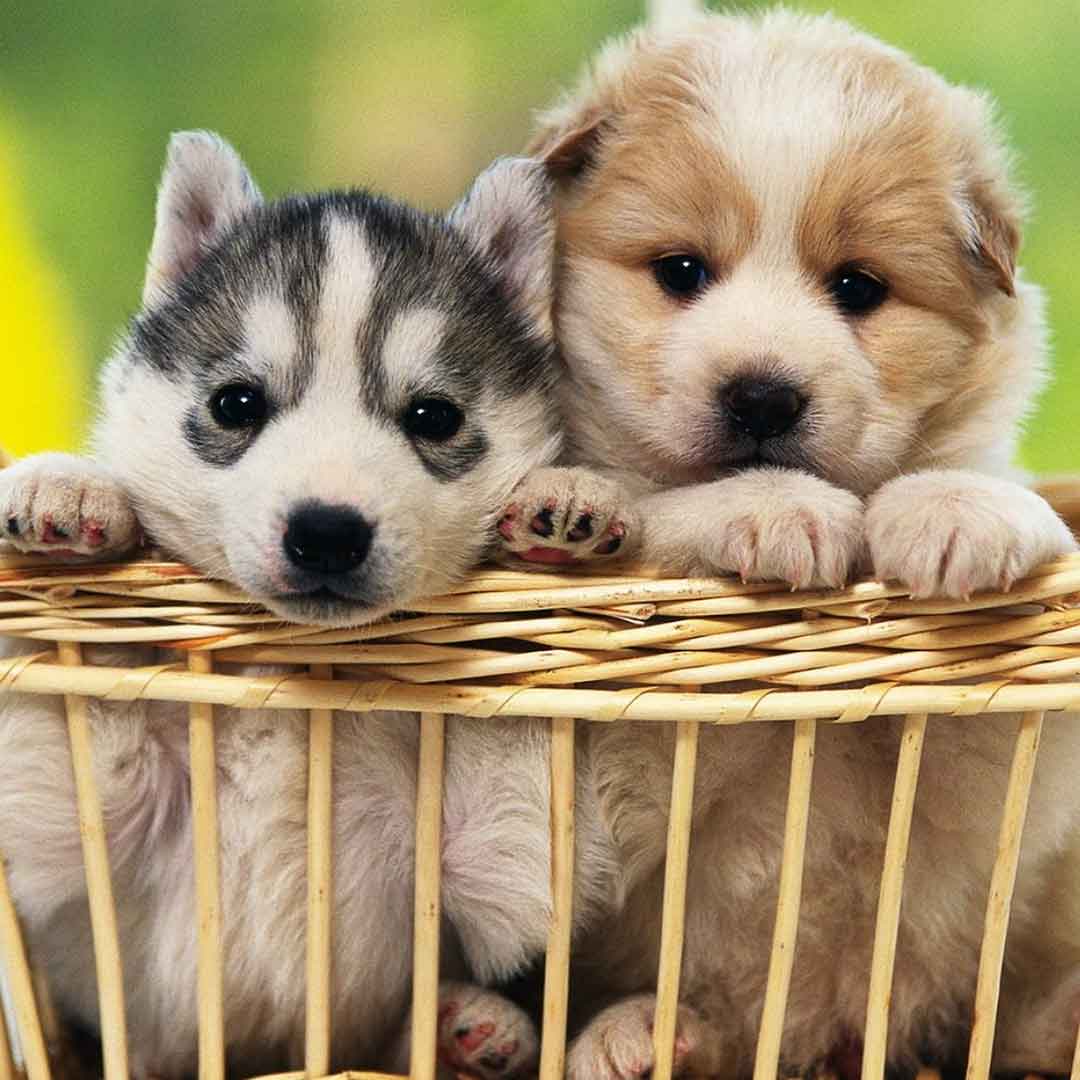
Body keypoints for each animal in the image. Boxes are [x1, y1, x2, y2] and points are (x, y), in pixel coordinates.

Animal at [0, 132, 617, 1080]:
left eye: (433, 416)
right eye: (237, 404)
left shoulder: (495, 864)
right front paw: (72, 491)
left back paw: (469, 1030)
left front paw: (558, 503)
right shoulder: (66, 847)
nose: (327, 533)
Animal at [494, 8, 1080, 1080]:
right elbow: (669, 499)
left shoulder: (974, 796)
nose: (763, 395)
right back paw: (633, 1034)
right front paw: (749, 508)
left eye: (858, 287)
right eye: (682, 272)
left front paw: (951, 513)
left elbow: (994, 496)